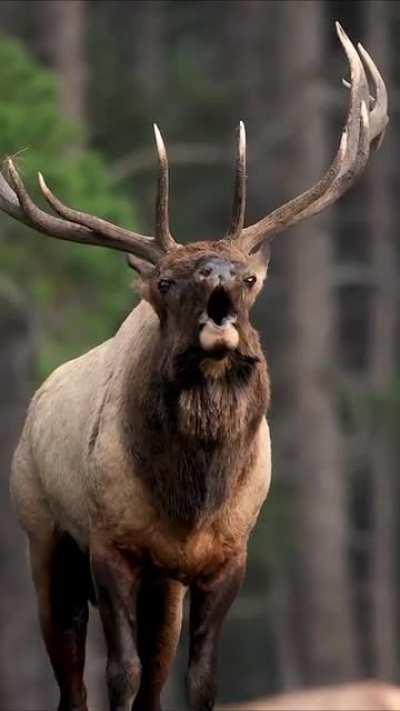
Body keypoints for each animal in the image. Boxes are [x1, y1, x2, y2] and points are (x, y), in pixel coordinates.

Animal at [7, 23, 387, 711]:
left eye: (249, 277)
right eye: (167, 279)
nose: (217, 284)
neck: (191, 503)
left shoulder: (226, 557)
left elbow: (200, 679)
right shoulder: (109, 544)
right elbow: (120, 673)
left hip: (165, 586)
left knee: (154, 672)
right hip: (42, 534)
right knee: (72, 679)